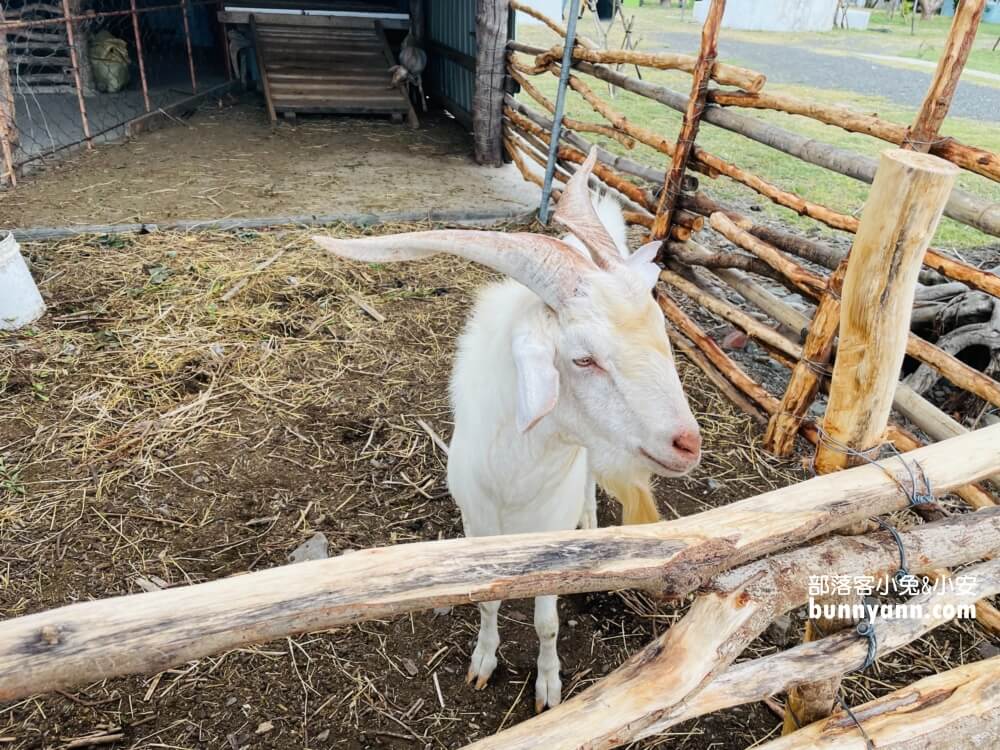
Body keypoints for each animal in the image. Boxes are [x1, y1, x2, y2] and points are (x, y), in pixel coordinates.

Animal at [310, 148, 696, 716]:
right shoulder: (477, 527)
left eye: (661, 330)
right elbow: (488, 600)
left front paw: (548, 685)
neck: (515, 484)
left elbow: (547, 620)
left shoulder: (550, 534)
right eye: (583, 358)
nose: (687, 443)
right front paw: (483, 662)